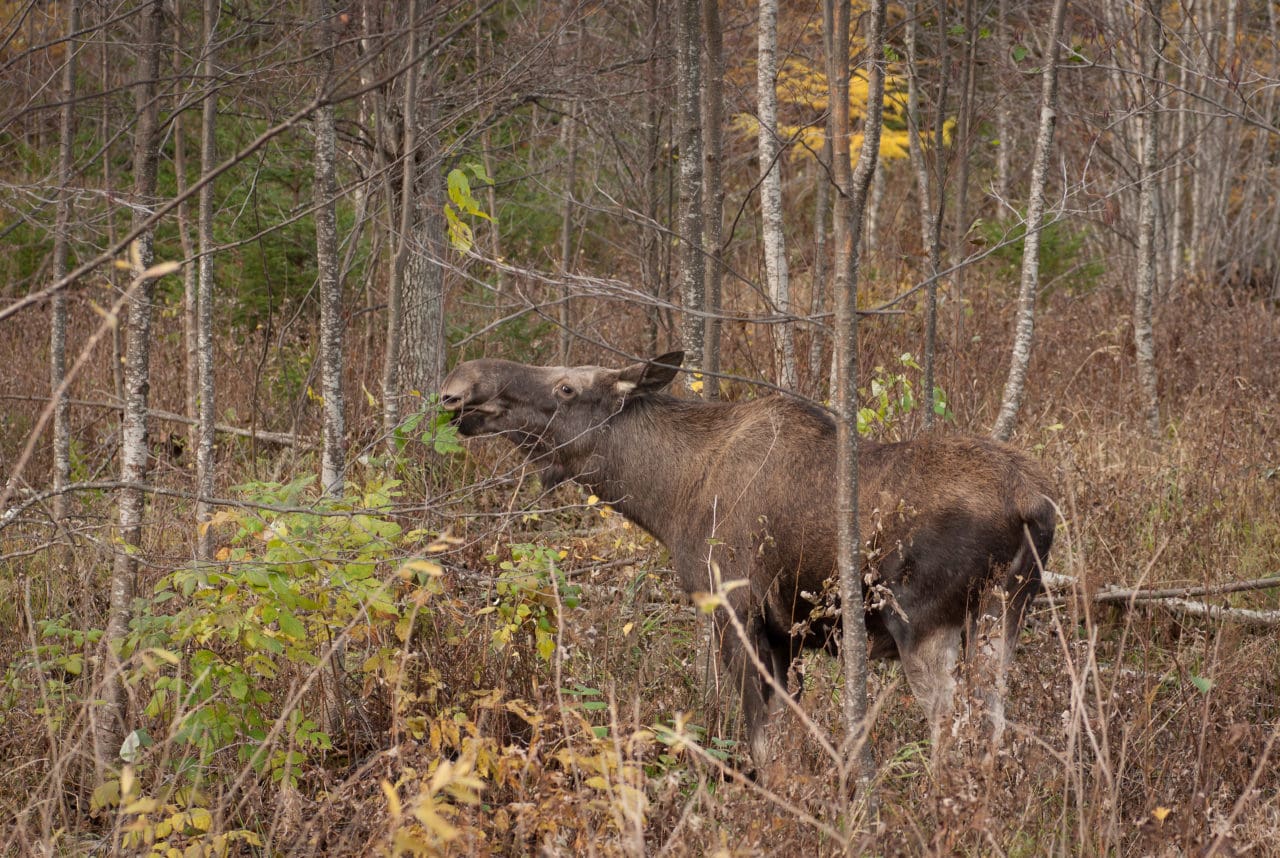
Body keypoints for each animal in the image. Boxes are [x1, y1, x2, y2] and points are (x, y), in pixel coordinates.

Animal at [437, 348, 1049, 768]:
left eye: (565, 387)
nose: (457, 387)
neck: (668, 497)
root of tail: (1036, 504)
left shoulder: (737, 609)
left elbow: (760, 745)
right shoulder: (787, 634)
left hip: (923, 624)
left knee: (952, 734)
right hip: (1003, 615)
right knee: (993, 727)